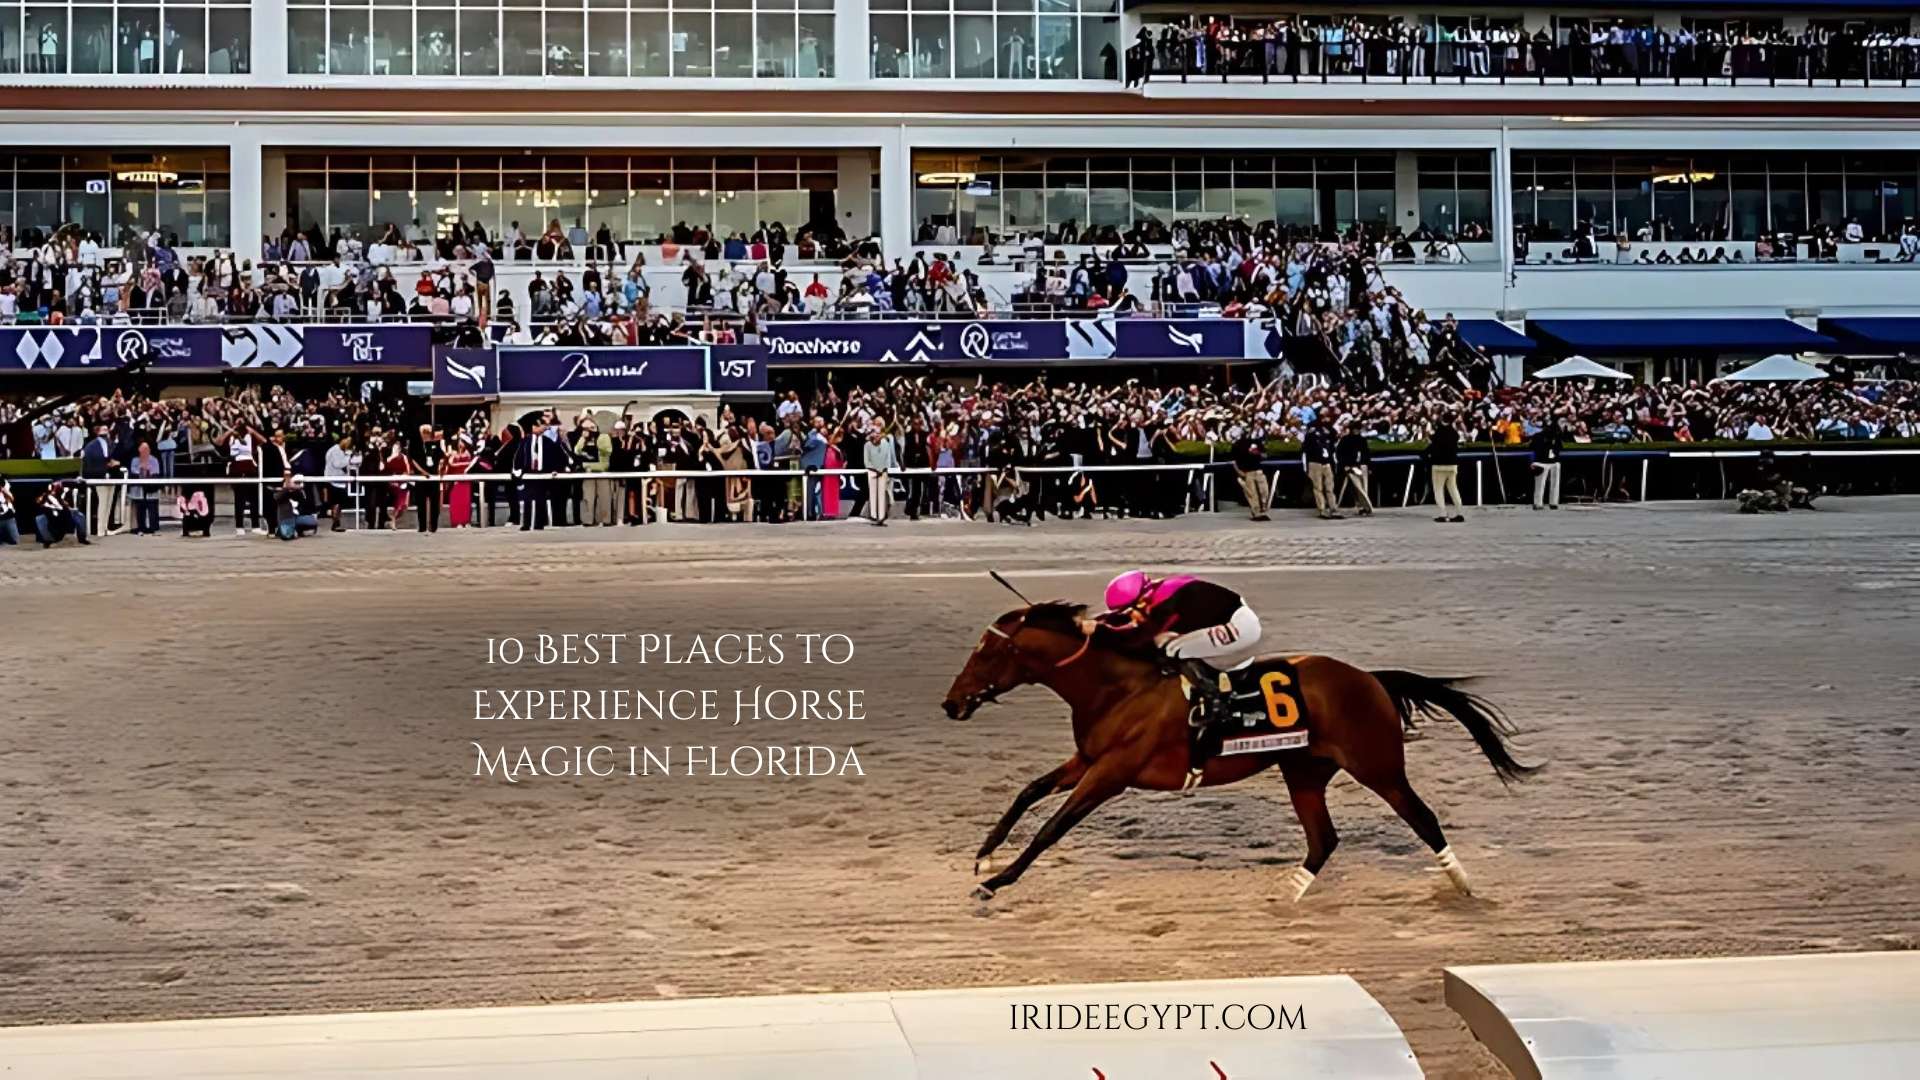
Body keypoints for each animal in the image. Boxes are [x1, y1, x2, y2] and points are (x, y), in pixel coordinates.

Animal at [936, 599, 1536, 895]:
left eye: (987, 653)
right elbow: (1028, 791)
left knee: (1423, 818)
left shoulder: (1112, 772)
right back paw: (1287, 897)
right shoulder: (1088, 759)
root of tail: (1371, 678)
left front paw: (995, 882)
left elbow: (1052, 826)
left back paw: (1462, 884)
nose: (951, 703)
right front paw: (986, 852)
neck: (1117, 686)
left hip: (1378, 766)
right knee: (1324, 839)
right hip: (1304, 771)